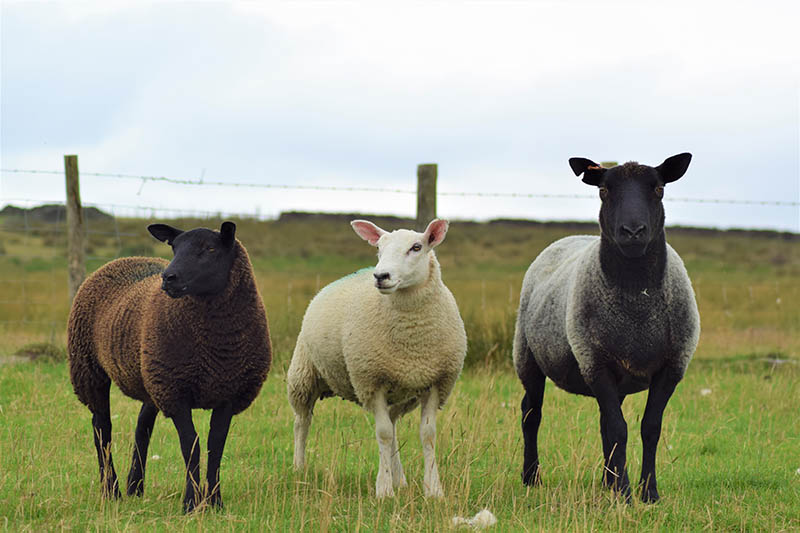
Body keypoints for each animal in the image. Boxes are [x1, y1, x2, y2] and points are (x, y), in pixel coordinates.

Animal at [67, 220, 272, 512]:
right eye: (175, 247)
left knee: (142, 426)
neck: (216, 345)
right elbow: (191, 444)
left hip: (151, 376)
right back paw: (111, 490)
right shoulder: (176, 392)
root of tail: (125, 259)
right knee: (102, 429)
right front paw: (191, 503)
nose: (168, 278)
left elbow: (216, 445)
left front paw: (215, 502)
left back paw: (135, 486)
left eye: (210, 249)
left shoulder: (229, 392)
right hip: (89, 369)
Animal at [288, 217, 466, 498]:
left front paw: (433, 490)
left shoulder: (436, 382)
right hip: (303, 375)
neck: (412, 342)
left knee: (393, 426)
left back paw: (400, 479)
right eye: (379, 249)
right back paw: (299, 467)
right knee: (302, 422)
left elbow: (427, 435)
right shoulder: (372, 381)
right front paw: (384, 490)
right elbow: (382, 434)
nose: (381, 276)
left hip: (402, 394)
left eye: (417, 247)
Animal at [516, 154, 696, 502]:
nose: (633, 231)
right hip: (528, 356)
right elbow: (618, 429)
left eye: (659, 189)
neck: (637, 302)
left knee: (602, 423)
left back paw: (606, 481)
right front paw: (625, 493)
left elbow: (648, 428)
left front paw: (648, 492)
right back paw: (532, 477)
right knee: (531, 413)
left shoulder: (671, 367)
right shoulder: (594, 362)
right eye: (603, 191)